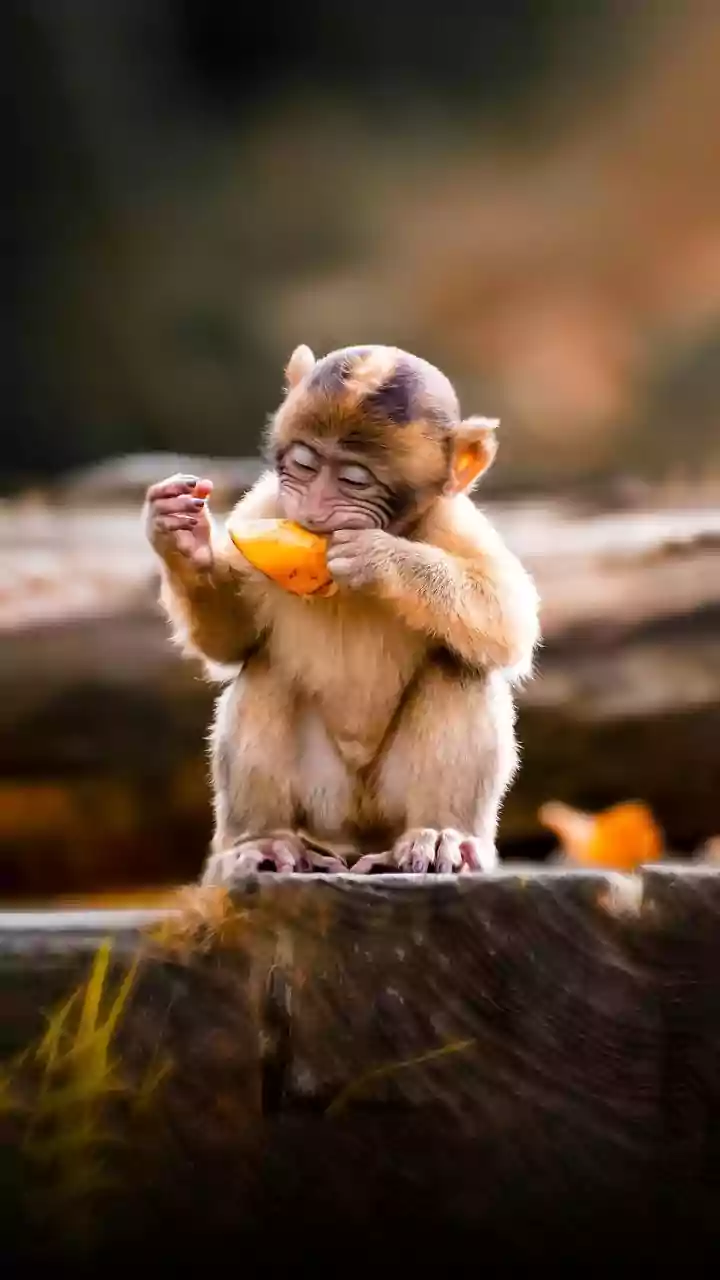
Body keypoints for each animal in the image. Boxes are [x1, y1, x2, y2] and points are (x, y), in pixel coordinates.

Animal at [144, 344, 541, 881]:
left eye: (355, 480)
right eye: (304, 465)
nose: (313, 511)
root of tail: (356, 837)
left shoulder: (453, 523)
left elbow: (509, 620)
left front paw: (378, 557)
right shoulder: (266, 506)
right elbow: (232, 641)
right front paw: (183, 541)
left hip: (386, 805)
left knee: (459, 666)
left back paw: (440, 834)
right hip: (323, 803)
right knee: (267, 671)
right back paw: (263, 841)